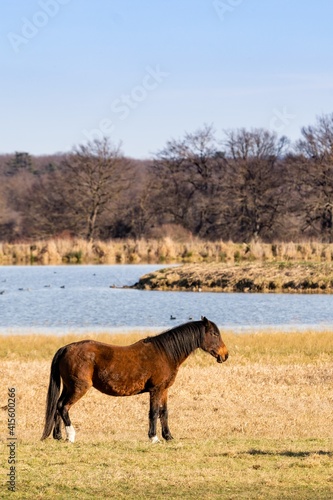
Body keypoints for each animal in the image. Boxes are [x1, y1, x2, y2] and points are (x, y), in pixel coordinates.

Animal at [40, 314, 228, 444]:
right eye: (213, 333)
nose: (225, 355)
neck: (165, 353)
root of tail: (66, 348)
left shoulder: (164, 390)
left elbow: (164, 412)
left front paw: (168, 436)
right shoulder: (156, 390)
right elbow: (153, 412)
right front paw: (154, 438)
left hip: (68, 387)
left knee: (57, 405)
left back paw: (58, 436)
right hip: (78, 388)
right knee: (63, 407)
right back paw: (71, 436)